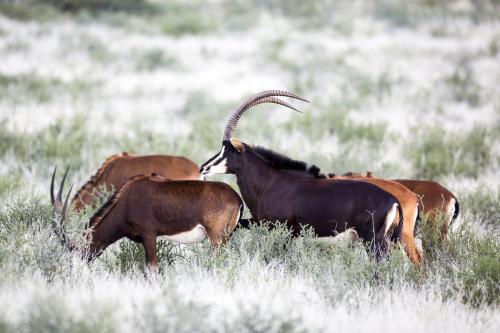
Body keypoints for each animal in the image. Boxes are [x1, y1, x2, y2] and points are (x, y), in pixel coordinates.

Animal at [51, 166, 244, 268]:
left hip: (217, 238)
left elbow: (152, 268)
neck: (126, 202)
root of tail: (236, 198)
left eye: (80, 251)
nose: (80, 267)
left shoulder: (149, 236)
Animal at [198, 91, 402, 260]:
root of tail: (393, 201)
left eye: (228, 150)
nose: (203, 167)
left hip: (372, 240)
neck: (269, 182)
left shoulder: (283, 232)